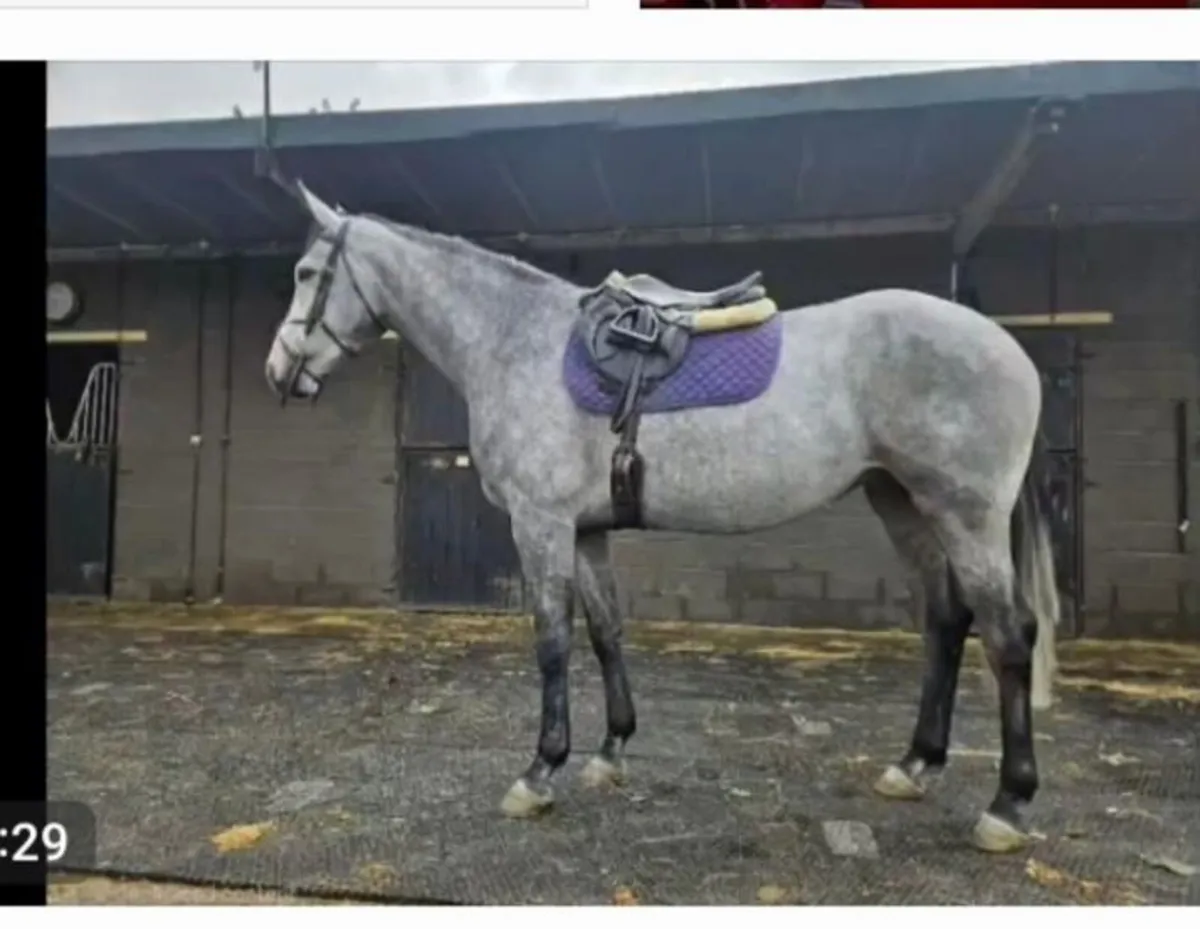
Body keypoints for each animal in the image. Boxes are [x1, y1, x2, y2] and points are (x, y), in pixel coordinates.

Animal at [264, 181, 1060, 855]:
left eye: (305, 273)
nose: (279, 372)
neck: (513, 341)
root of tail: (1008, 346)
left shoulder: (540, 524)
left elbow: (552, 640)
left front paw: (539, 771)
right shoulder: (586, 530)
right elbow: (605, 631)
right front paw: (611, 750)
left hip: (965, 513)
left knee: (1007, 634)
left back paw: (1009, 804)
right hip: (902, 503)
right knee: (946, 621)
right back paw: (915, 764)